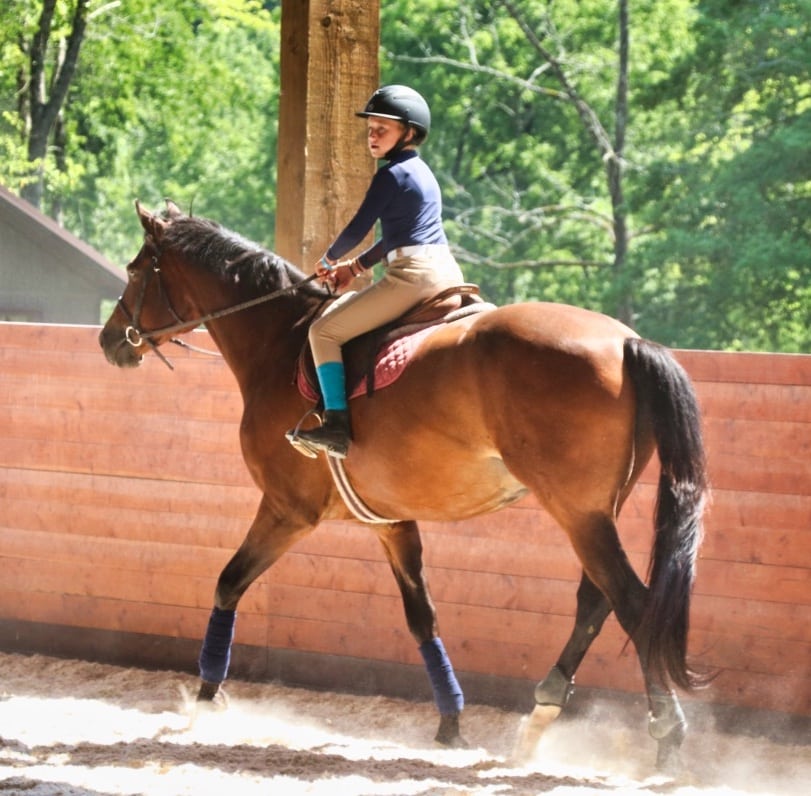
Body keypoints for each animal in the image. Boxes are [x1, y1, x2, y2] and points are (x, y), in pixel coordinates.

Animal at [100, 199, 712, 772]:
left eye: (135, 269)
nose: (110, 342)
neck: (280, 343)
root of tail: (627, 341)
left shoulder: (286, 510)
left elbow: (228, 583)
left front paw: (206, 699)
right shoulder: (392, 522)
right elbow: (422, 618)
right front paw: (450, 724)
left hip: (577, 511)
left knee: (632, 602)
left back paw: (667, 737)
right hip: (595, 510)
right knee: (596, 600)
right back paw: (544, 709)